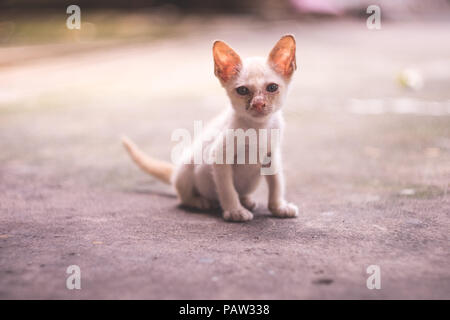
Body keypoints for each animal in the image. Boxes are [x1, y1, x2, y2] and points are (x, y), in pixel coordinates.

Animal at [123, 34, 298, 220]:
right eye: (243, 90)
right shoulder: (219, 157)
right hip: (187, 167)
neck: (259, 127)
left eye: (272, 87)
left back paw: (246, 200)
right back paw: (201, 201)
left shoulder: (272, 156)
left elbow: (277, 184)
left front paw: (279, 207)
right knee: (183, 197)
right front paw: (234, 211)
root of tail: (175, 170)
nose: (258, 104)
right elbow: (227, 189)